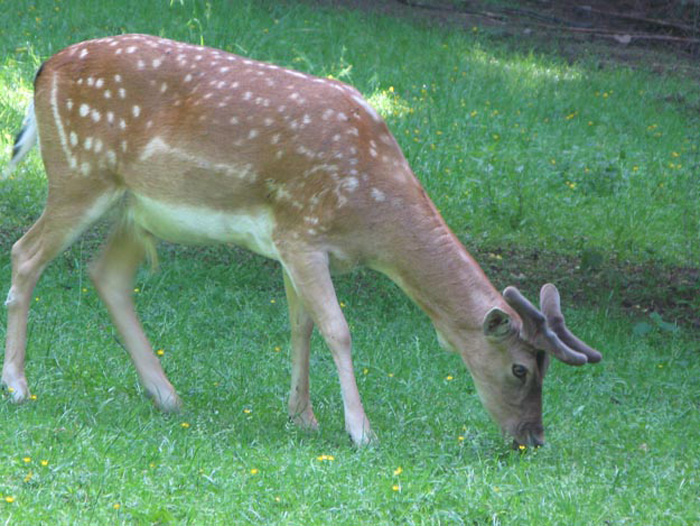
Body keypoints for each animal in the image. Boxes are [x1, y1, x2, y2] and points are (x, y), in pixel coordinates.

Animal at [1, 35, 600, 450]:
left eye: (544, 369)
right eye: (521, 368)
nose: (532, 438)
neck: (371, 217)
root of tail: (42, 70)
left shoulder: (290, 244)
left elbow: (302, 326)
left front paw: (303, 417)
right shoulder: (303, 233)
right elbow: (339, 329)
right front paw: (361, 430)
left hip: (135, 208)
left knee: (106, 274)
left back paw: (166, 395)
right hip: (79, 175)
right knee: (25, 253)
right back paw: (19, 385)